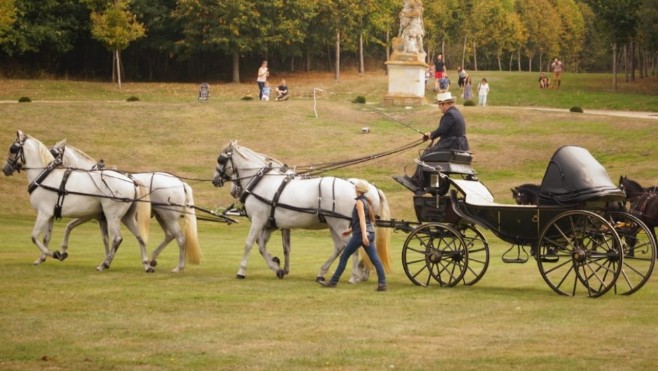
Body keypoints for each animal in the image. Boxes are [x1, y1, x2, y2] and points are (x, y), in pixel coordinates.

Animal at [2, 129, 151, 272]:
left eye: (12, 149)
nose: (5, 169)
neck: (45, 178)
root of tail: (131, 181)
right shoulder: (51, 215)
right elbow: (47, 237)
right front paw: (42, 258)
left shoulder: (43, 213)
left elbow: (34, 237)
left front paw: (56, 254)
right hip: (127, 217)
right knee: (139, 237)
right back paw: (146, 264)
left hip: (112, 216)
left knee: (117, 239)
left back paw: (104, 264)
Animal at [49, 140, 200, 274]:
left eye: (53, 154)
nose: (47, 168)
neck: (92, 178)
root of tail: (180, 182)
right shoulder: (102, 219)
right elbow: (104, 239)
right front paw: (107, 259)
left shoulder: (89, 215)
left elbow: (70, 226)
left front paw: (64, 252)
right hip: (161, 216)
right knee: (169, 235)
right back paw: (152, 259)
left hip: (168, 217)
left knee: (180, 239)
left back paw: (178, 267)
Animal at [211, 141, 390, 284]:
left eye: (221, 159)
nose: (215, 180)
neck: (261, 181)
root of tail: (356, 188)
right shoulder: (270, 224)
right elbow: (263, 246)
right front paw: (277, 266)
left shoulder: (258, 220)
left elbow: (249, 244)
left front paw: (241, 271)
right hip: (334, 224)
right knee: (342, 246)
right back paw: (324, 273)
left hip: (340, 224)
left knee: (352, 246)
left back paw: (354, 275)